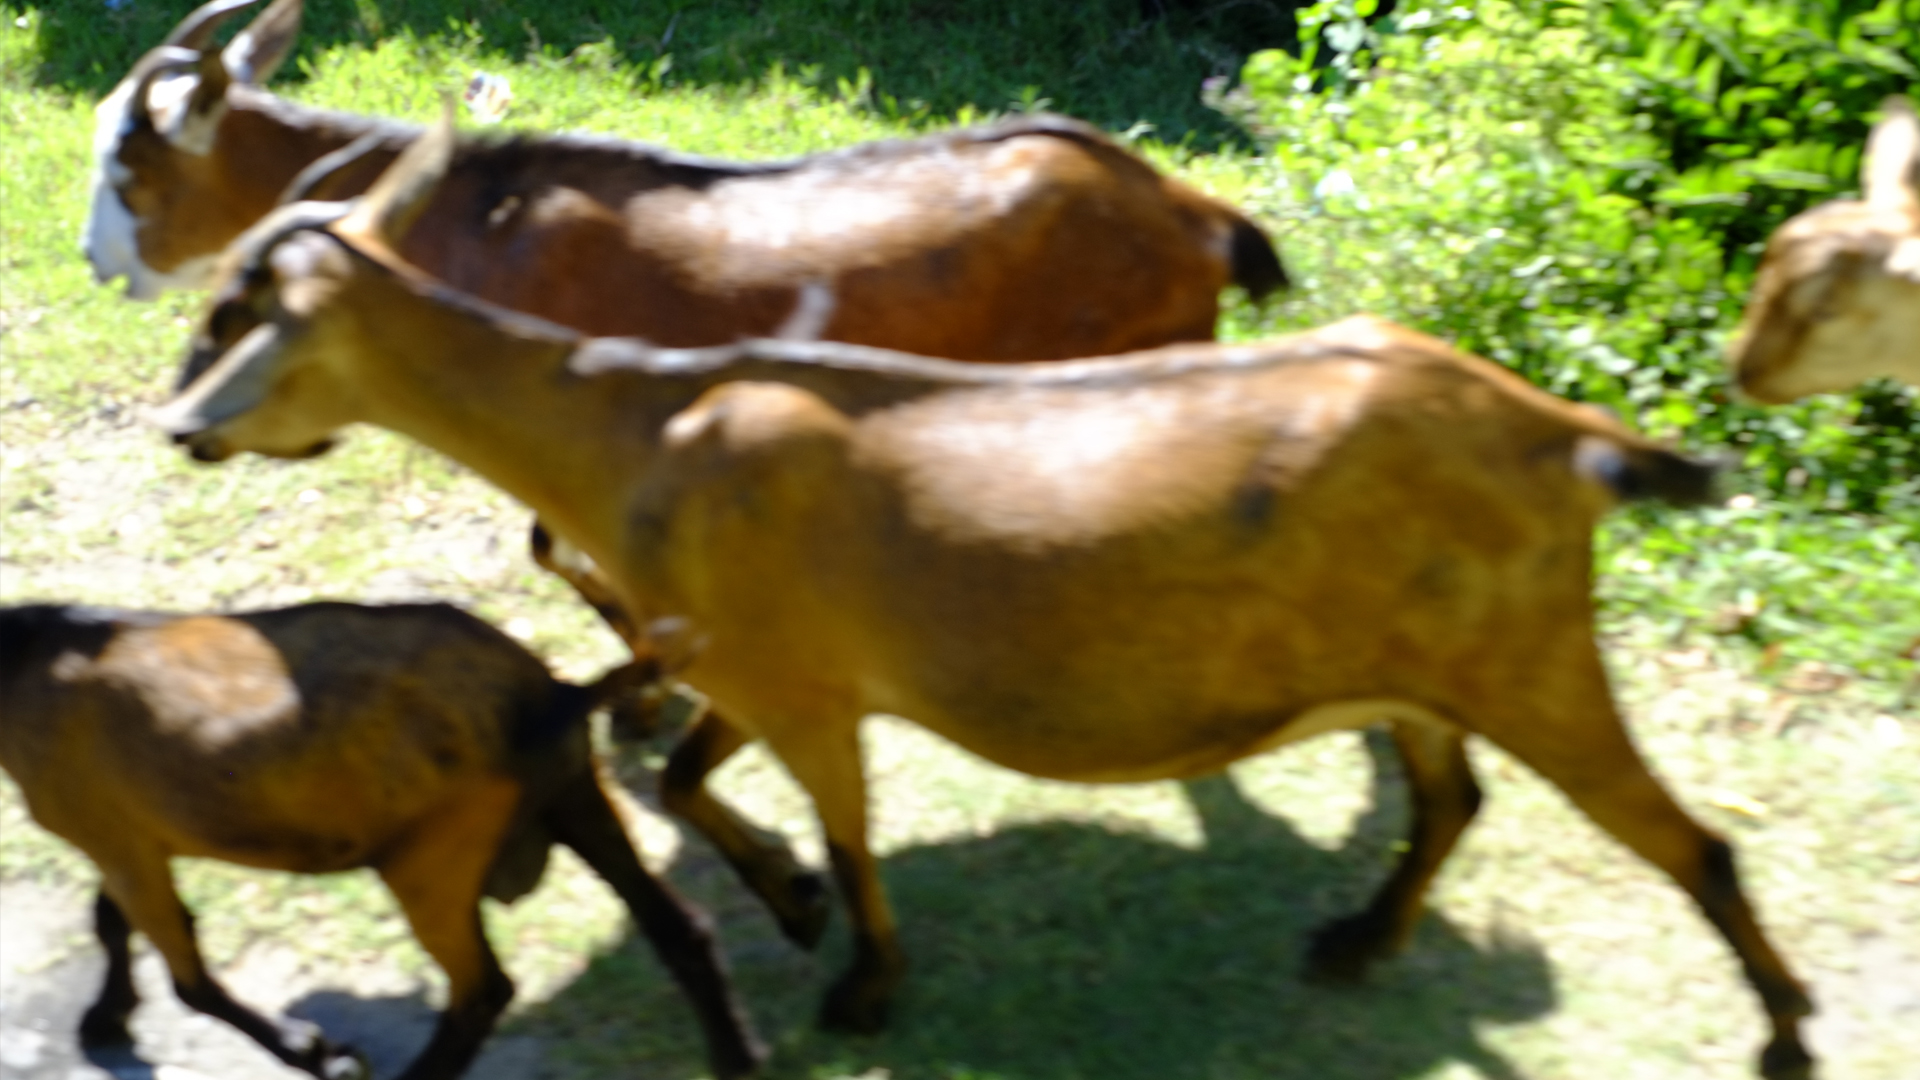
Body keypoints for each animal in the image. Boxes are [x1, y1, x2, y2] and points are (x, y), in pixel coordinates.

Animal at [0, 601, 764, 1080]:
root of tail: (554, 693)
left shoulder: (117, 840)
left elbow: (188, 980)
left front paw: (318, 1054)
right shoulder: (125, 839)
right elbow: (108, 920)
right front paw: (104, 1016)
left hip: (432, 857)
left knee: (483, 989)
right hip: (575, 797)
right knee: (679, 929)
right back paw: (736, 1057)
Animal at [152, 116, 1815, 1080]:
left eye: (239, 314)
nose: (181, 432)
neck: (633, 426)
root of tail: (1565, 437)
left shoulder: (801, 684)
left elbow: (842, 825)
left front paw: (863, 980)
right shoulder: (760, 667)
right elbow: (694, 783)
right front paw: (794, 903)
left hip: (1534, 658)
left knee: (1695, 843)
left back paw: (1787, 1029)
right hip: (1424, 662)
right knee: (1451, 795)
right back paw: (1358, 941)